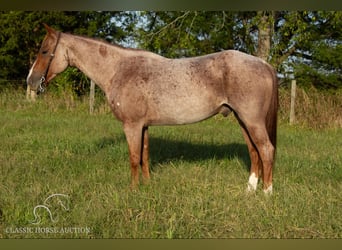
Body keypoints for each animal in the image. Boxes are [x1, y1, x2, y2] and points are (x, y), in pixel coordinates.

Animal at [26, 24, 278, 193]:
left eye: (44, 51)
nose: (31, 81)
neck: (119, 69)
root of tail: (263, 64)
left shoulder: (131, 125)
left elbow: (133, 157)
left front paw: (133, 190)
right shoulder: (143, 126)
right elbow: (144, 156)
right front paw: (147, 186)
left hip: (251, 120)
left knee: (266, 150)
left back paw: (266, 192)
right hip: (242, 120)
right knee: (254, 151)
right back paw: (250, 189)